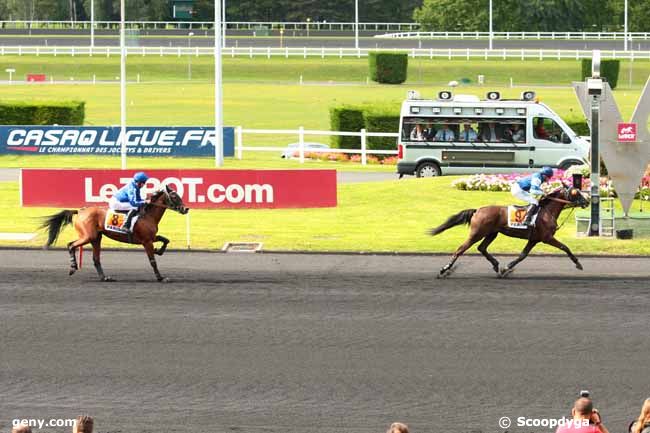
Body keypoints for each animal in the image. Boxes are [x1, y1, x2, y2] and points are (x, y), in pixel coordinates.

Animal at [41, 184, 187, 282]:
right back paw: (73, 267)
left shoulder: (151, 237)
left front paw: (159, 251)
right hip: (88, 236)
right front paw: (160, 277)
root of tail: (81, 211)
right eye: (174, 196)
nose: (185, 209)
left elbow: (165, 240)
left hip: (96, 238)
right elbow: (153, 261)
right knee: (71, 245)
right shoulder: (146, 241)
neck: (147, 215)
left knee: (95, 258)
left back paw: (104, 277)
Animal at [430, 185, 588, 278]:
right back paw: (444, 270)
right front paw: (578, 264)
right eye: (575, 192)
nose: (586, 202)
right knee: (460, 249)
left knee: (482, 248)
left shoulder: (534, 239)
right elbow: (565, 247)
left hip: (492, 233)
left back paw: (495, 265)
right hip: (477, 233)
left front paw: (506, 269)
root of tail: (477, 210)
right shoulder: (547, 237)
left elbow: (522, 255)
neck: (546, 211)